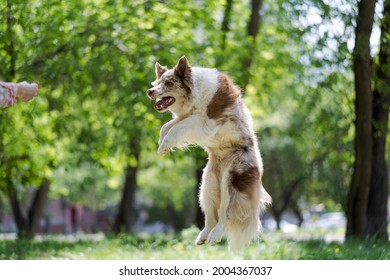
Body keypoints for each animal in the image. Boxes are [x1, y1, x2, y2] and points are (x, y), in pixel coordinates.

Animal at [146, 55, 272, 250]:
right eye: (157, 82)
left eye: (169, 83)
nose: (149, 91)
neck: (195, 92)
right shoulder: (184, 116)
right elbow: (166, 126)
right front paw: (162, 144)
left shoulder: (206, 121)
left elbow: (179, 127)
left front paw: (164, 145)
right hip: (207, 184)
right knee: (211, 217)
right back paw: (203, 236)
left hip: (231, 181)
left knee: (226, 214)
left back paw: (215, 235)